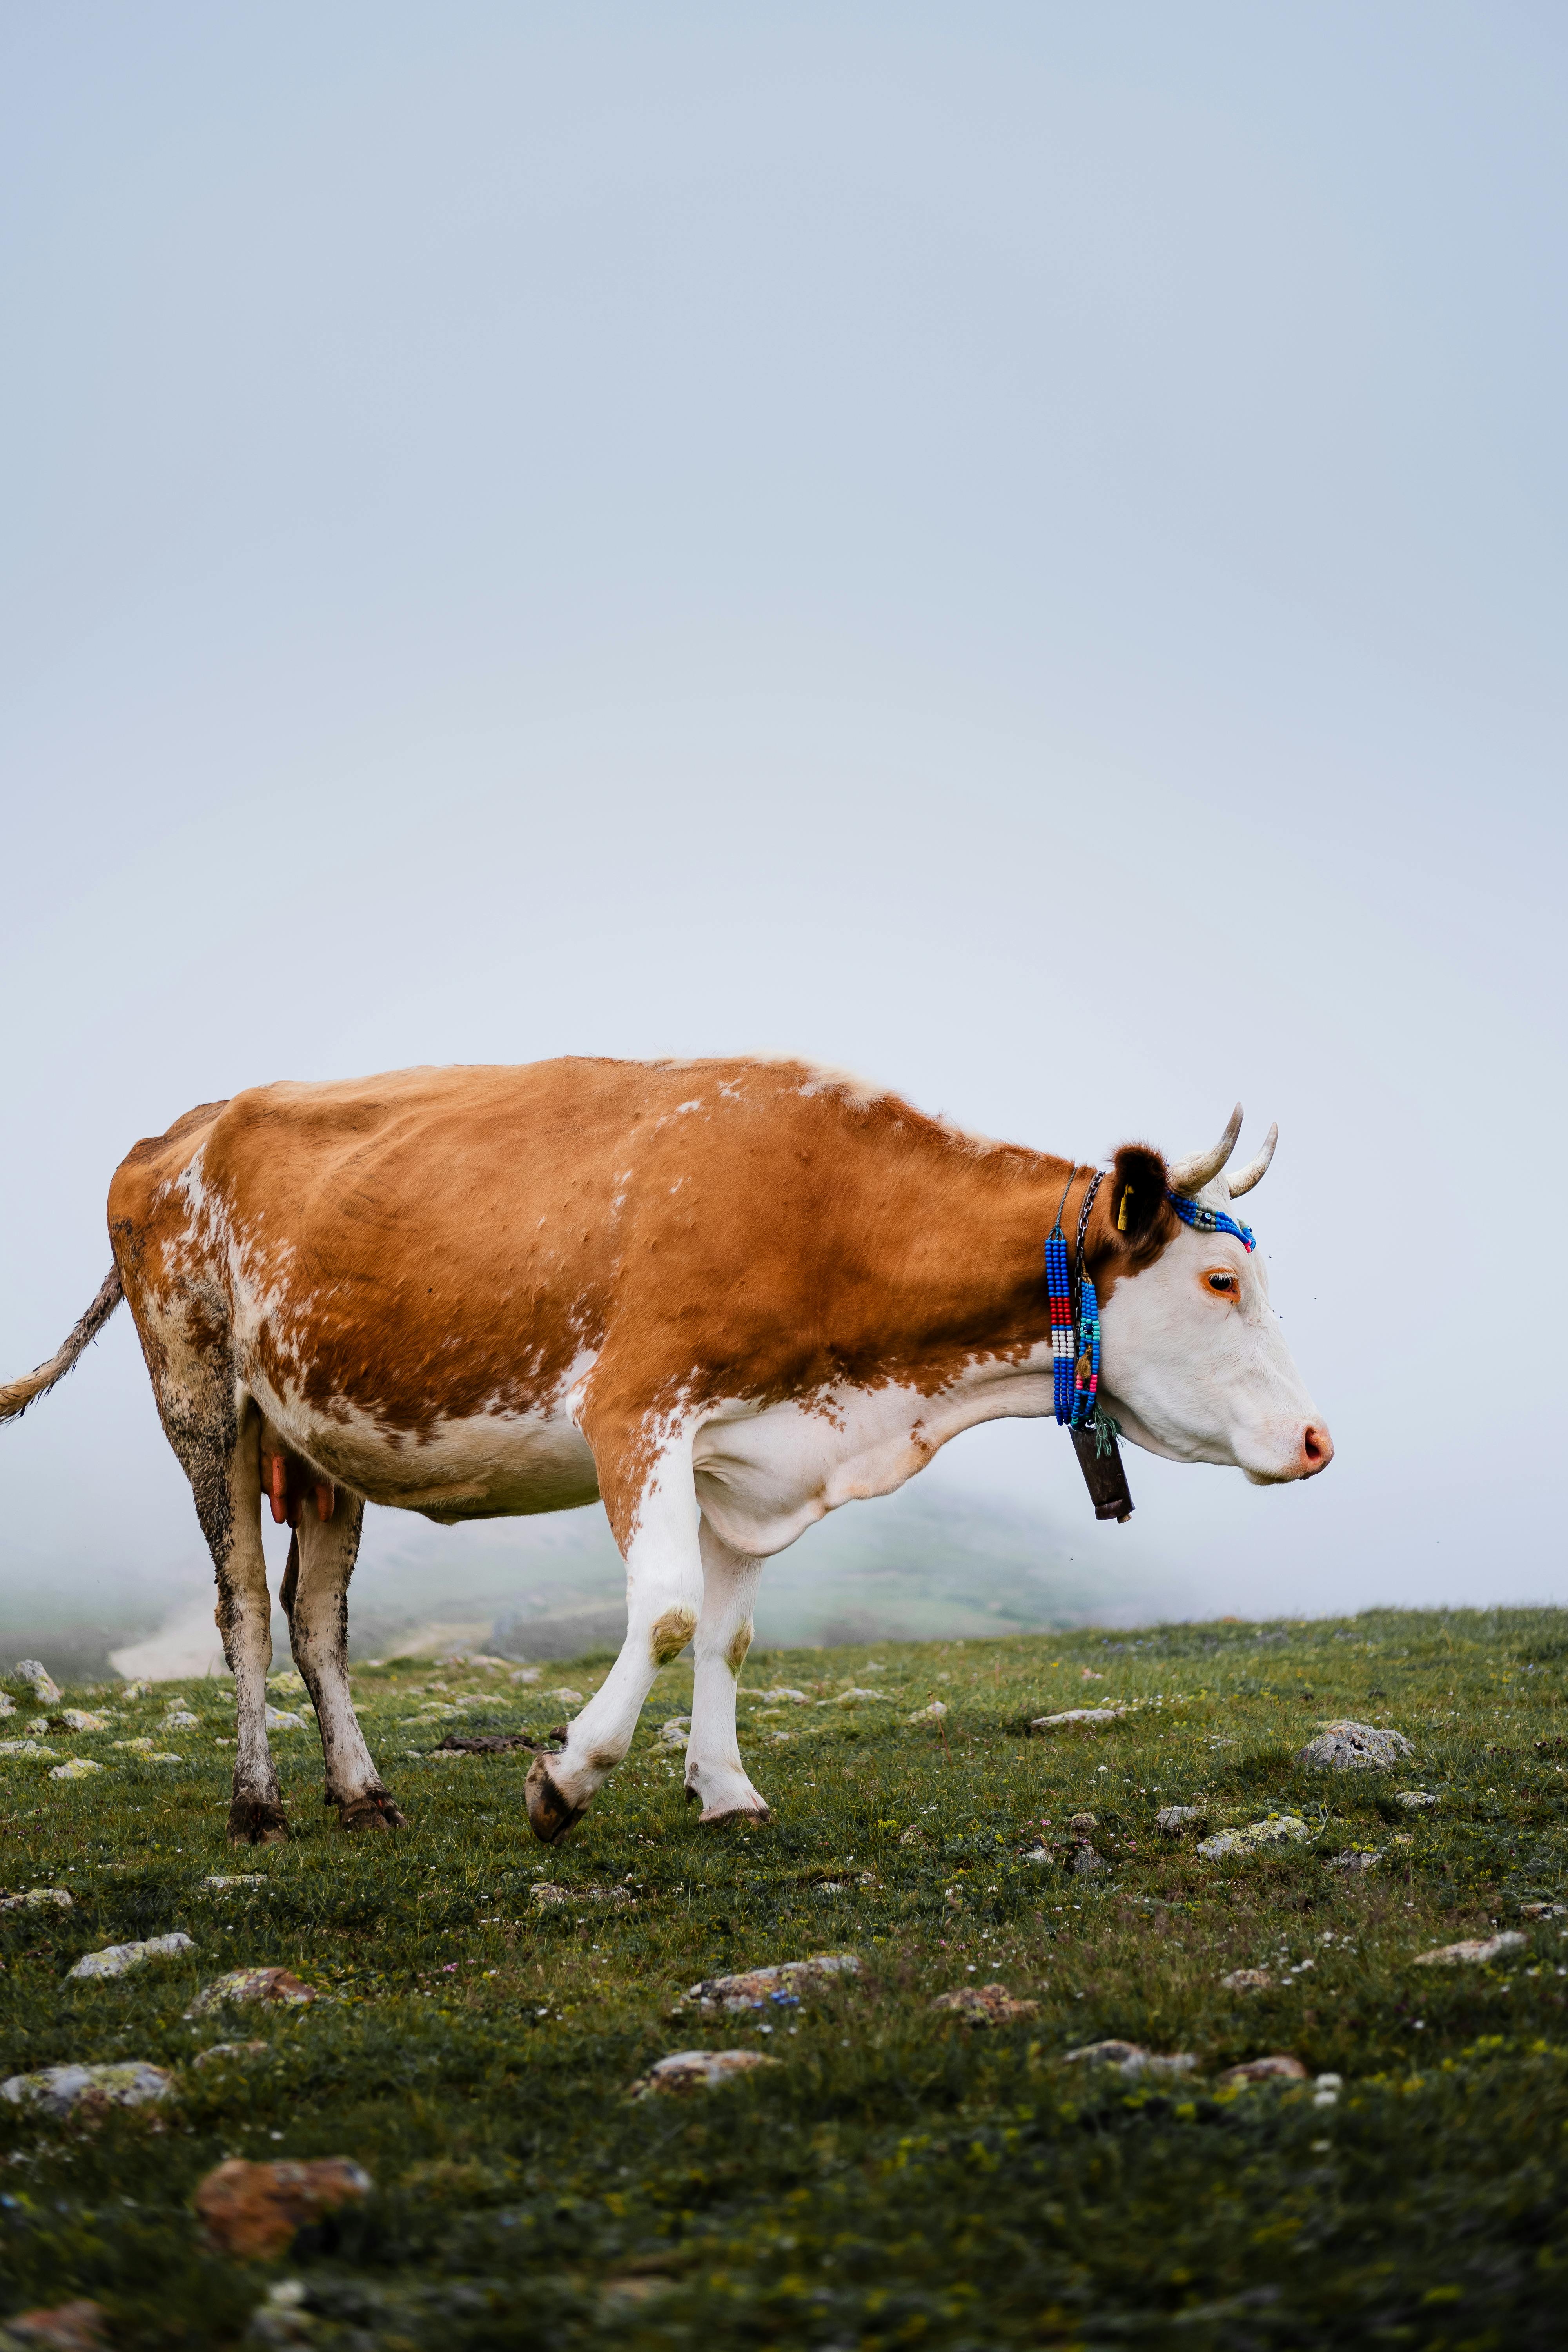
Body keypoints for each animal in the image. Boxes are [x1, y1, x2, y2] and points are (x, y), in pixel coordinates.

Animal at [0, 1057, 1330, 1846]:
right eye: (1219, 1280)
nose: (1318, 1440)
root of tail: (184, 1126)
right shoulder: (637, 1410)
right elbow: (672, 1608)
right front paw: (566, 1777)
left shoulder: (748, 1455)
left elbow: (729, 1630)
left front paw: (725, 1788)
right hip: (201, 1392)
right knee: (240, 1606)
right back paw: (259, 1803)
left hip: (320, 1432)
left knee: (315, 1611)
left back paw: (364, 1791)